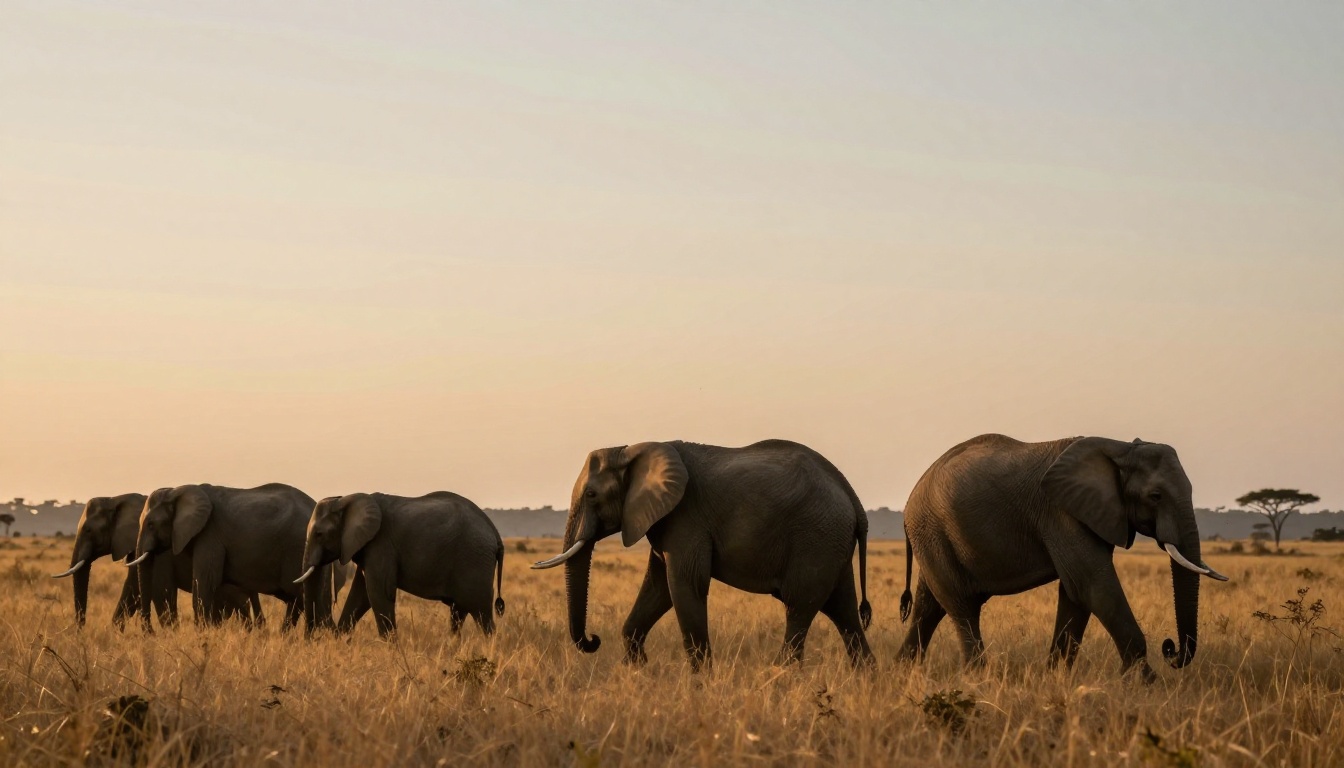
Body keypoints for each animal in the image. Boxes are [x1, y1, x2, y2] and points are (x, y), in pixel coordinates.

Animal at [53, 494, 264, 629]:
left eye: (88, 530)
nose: (81, 630)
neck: (117, 498)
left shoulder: (162, 554)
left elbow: (159, 590)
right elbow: (132, 590)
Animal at [129, 483, 335, 632]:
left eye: (151, 525)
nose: (149, 632)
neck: (177, 490)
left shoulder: (209, 535)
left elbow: (204, 583)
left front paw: (202, 635)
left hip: (297, 548)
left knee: (303, 596)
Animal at [296, 491, 505, 638]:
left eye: (319, 534)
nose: (312, 641)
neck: (346, 499)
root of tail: (495, 533)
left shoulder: (380, 544)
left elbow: (378, 593)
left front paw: (391, 650)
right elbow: (360, 595)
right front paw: (339, 642)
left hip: (474, 558)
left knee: (480, 611)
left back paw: (489, 647)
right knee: (459, 611)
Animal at [532, 440, 874, 670]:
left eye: (591, 495)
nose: (593, 639)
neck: (631, 449)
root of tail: (852, 497)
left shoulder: (686, 516)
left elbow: (685, 585)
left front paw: (701, 683)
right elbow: (658, 589)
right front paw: (637, 671)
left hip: (816, 538)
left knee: (799, 607)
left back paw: (780, 676)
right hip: (831, 543)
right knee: (842, 610)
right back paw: (865, 679)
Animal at [897, 434, 1228, 682]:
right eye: (1155, 496)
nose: (1170, 649)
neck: (1119, 448)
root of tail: (911, 497)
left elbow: (1076, 592)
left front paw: (1055, 679)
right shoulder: (1061, 513)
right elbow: (1092, 585)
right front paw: (1145, 685)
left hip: (933, 537)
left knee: (930, 606)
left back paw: (902, 671)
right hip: (934, 531)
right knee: (962, 607)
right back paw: (977, 678)